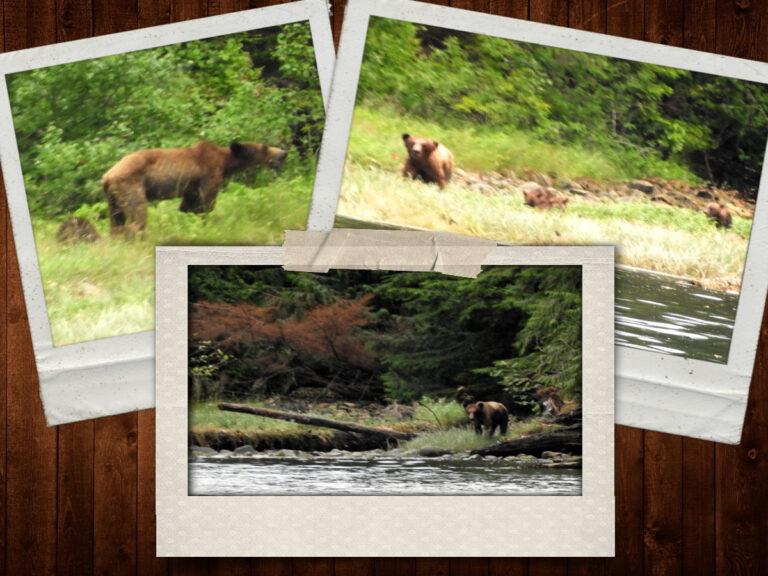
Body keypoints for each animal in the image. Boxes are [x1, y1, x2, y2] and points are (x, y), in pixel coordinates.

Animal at [102, 141, 288, 235]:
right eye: (265, 147)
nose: (283, 153)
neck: (226, 164)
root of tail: (107, 177)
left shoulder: (191, 187)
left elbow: (188, 206)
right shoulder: (210, 174)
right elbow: (206, 204)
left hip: (113, 198)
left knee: (116, 221)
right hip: (131, 186)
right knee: (138, 215)